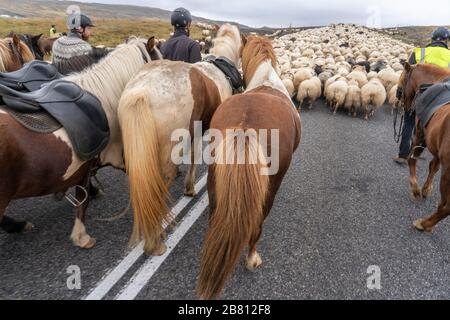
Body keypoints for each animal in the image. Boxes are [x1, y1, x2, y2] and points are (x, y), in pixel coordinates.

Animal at [198, 35, 300, 300]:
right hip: (269, 187)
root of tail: (244, 126)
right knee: (258, 222)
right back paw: (252, 258)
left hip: (215, 181)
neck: (267, 79)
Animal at [398, 62, 450, 232]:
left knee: (447, 206)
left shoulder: (419, 136)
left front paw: (415, 189)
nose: (405, 107)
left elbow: (411, 159)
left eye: (403, 79)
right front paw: (426, 189)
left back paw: (424, 224)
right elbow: (433, 166)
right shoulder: (437, 149)